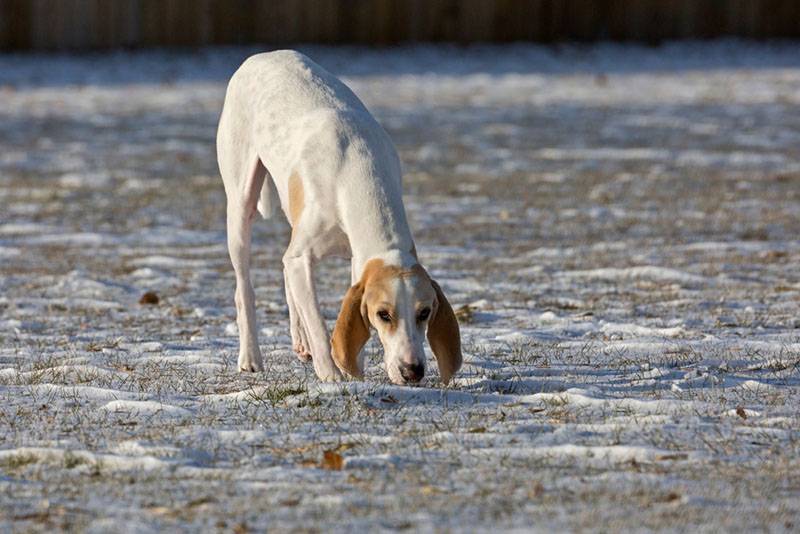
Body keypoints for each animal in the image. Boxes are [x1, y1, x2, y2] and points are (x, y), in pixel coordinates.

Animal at [216, 51, 462, 386]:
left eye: (424, 312)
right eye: (383, 314)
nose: (413, 371)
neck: (358, 171)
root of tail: (262, 56)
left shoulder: (358, 260)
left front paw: (351, 368)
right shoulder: (303, 256)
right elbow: (319, 324)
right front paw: (331, 375)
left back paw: (299, 342)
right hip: (241, 208)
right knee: (245, 289)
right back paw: (250, 358)